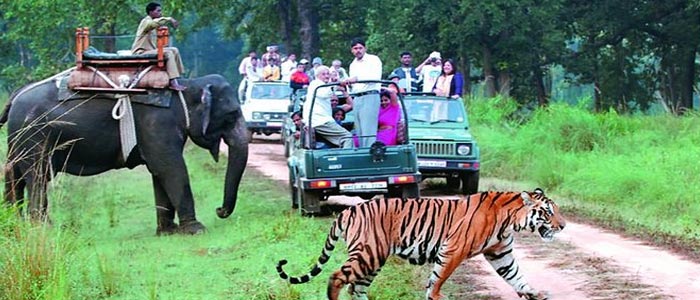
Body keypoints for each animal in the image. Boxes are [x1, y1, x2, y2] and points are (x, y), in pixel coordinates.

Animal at [0, 72, 250, 234]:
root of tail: (15, 96)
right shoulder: (158, 123)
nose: (219, 210)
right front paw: (197, 230)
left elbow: (159, 171)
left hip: (18, 139)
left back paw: (14, 225)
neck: (186, 86)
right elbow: (170, 168)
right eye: (231, 115)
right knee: (38, 176)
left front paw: (168, 231)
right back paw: (43, 229)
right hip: (35, 135)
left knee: (14, 176)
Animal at [276, 189, 568, 298]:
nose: (563, 225)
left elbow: (516, 275)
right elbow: (438, 278)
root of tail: (348, 210)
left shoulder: (500, 254)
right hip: (369, 253)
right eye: (548, 212)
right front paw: (436, 296)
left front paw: (533, 293)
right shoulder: (453, 250)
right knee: (337, 277)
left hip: (373, 258)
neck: (510, 220)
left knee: (356, 287)